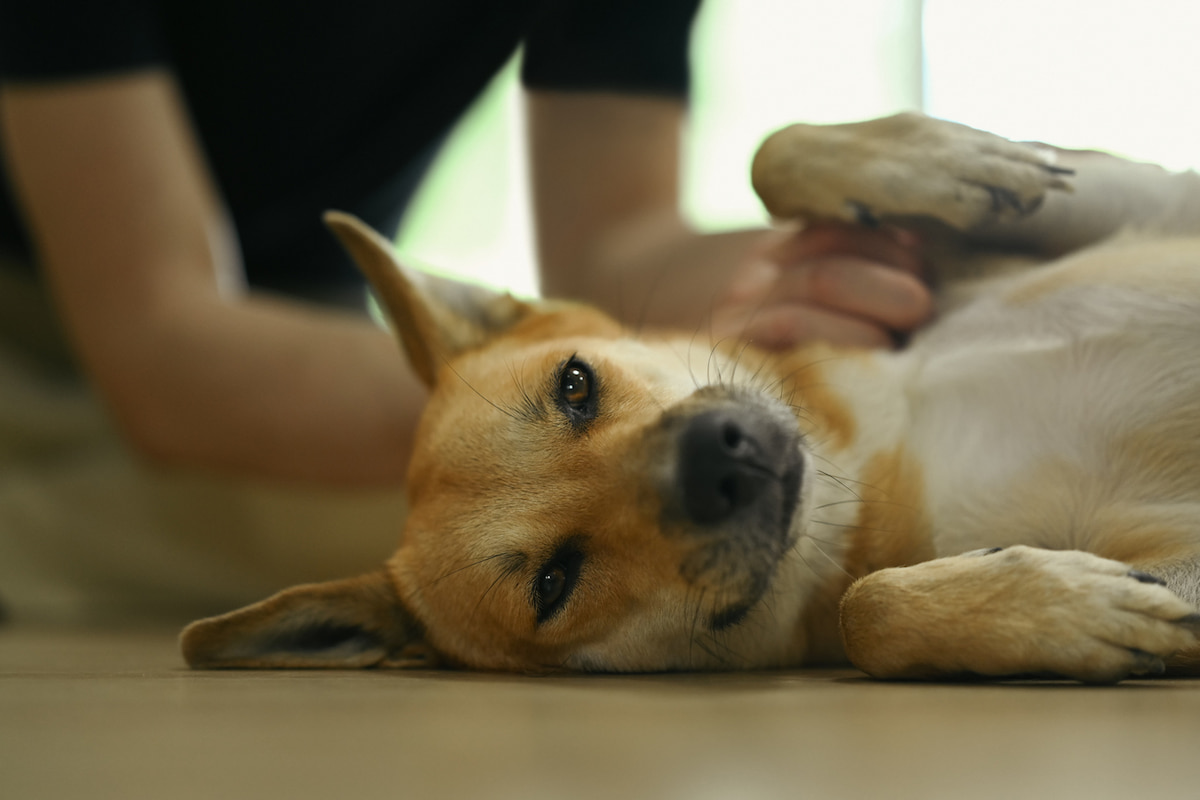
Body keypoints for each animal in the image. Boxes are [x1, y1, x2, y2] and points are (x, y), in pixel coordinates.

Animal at [177, 115, 1200, 686]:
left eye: (576, 385)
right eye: (555, 584)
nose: (722, 457)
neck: (879, 444)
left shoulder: (1161, 194)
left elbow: (770, 152)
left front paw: (940, 160)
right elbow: (867, 612)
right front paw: (1061, 609)